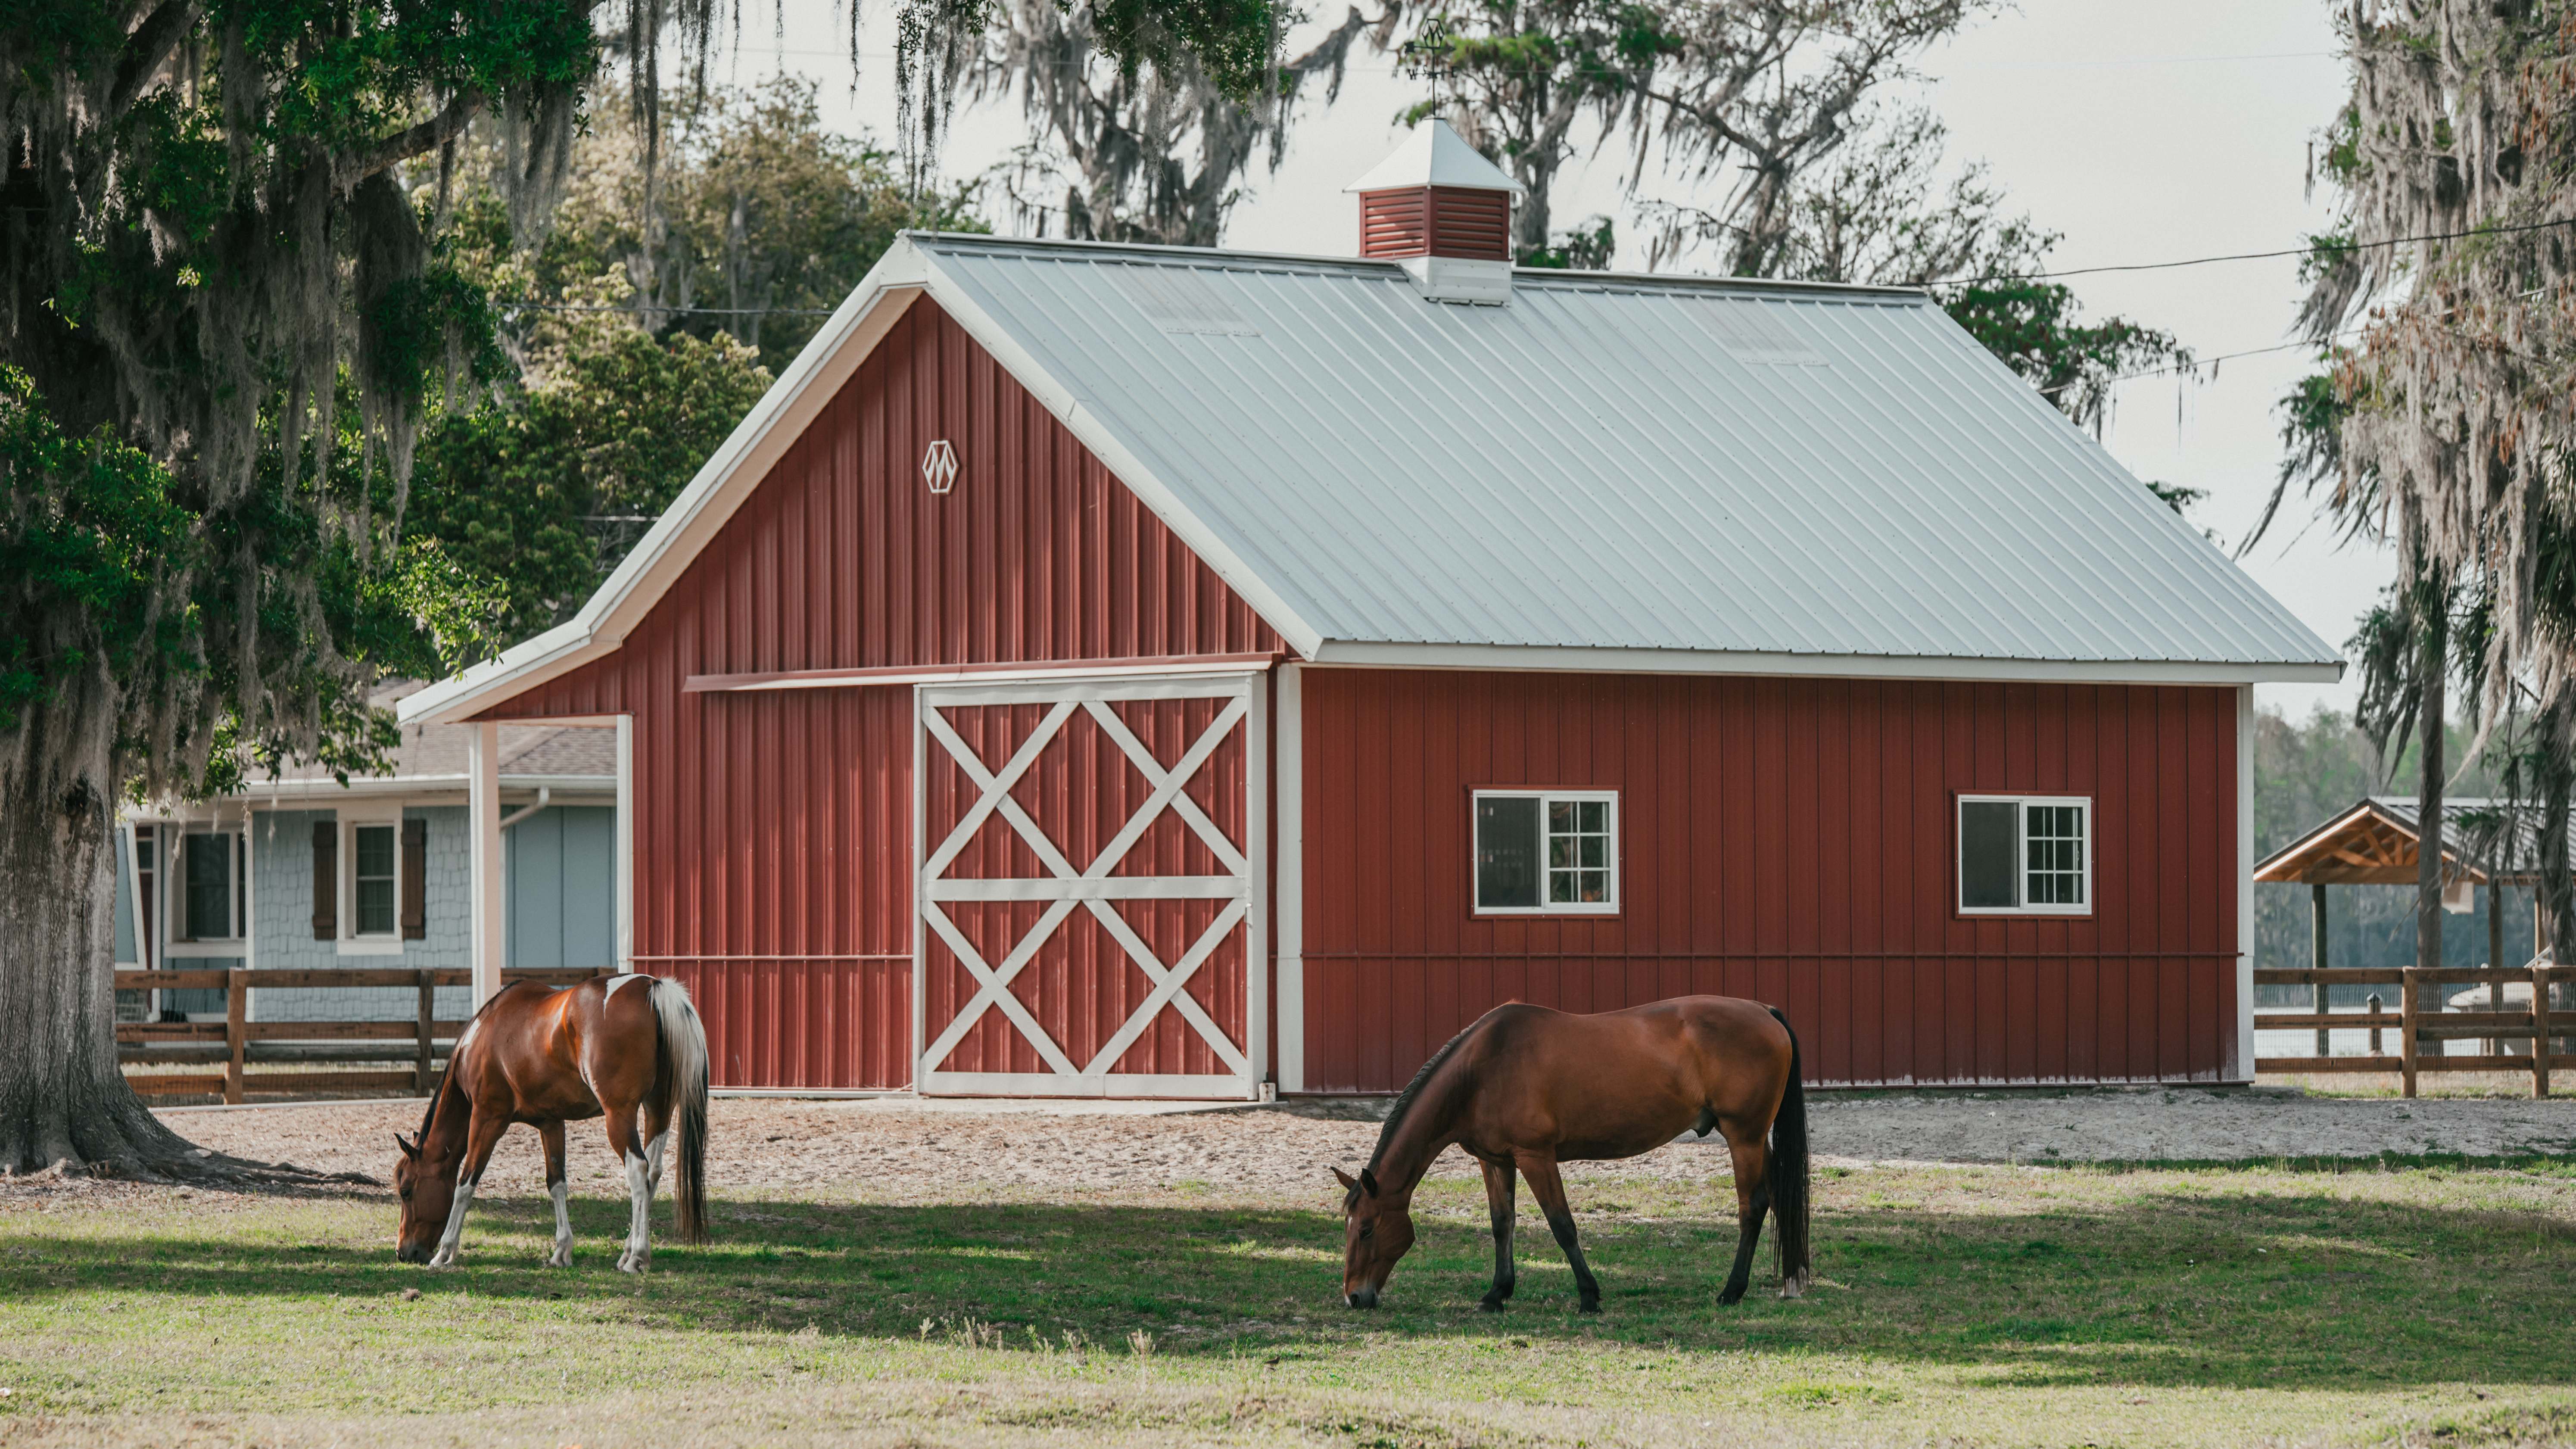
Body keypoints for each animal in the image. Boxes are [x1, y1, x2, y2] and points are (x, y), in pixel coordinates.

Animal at [394, 973, 710, 1272]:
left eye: (406, 1191)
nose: (403, 1252)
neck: (484, 1034)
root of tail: (651, 987)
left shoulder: (487, 1118)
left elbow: (465, 1184)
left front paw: (445, 1253)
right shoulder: (551, 1122)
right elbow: (556, 1183)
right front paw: (561, 1251)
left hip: (619, 1115)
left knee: (638, 1170)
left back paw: (637, 1256)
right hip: (658, 1109)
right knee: (652, 1172)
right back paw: (627, 1252)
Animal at [1331, 995, 1807, 1314]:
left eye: (1368, 1229)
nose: (1355, 1296)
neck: (1482, 1070)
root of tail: (1764, 1010)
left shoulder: (1535, 1156)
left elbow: (1562, 1225)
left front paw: (1589, 1296)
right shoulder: (1496, 1160)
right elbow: (1502, 1225)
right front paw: (1497, 1293)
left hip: (1743, 1138)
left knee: (1753, 1207)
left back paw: (1732, 1290)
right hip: (1753, 1140)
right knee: (1779, 1198)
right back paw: (1790, 1281)